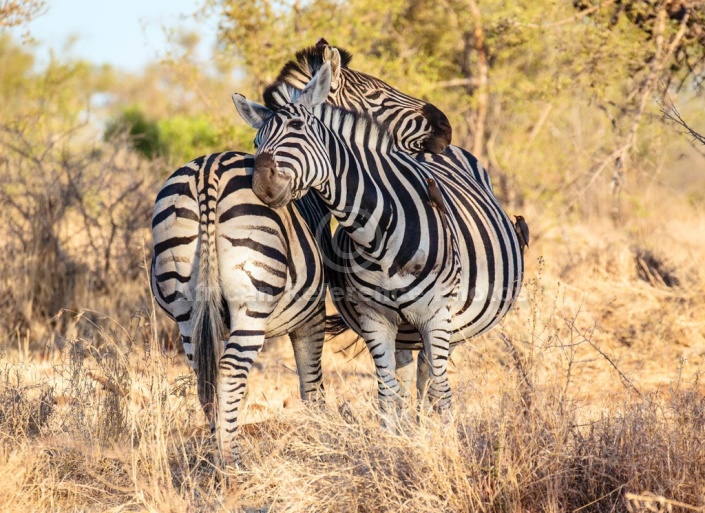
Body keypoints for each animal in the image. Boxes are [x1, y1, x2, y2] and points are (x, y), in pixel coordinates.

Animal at [151, 42, 454, 464]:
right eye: (377, 92)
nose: (445, 126)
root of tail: (206, 174)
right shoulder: (310, 317)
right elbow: (312, 386)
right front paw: (323, 441)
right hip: (252, 301)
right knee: (229, 372)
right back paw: (233, 465)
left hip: (184, 305)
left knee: (204, 375)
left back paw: (217, 454)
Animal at [231, 61, 524, 420]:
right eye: (256, 141)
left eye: (297, 126)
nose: (261, 184)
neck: (376, 233)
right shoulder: (375, 317)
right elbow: (388, 392)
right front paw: (397, 433)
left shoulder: (437, 314)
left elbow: (441, 393)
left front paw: (442, 436)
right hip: (407, 329)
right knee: (410, 372)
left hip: (452, 322)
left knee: (430, 377)